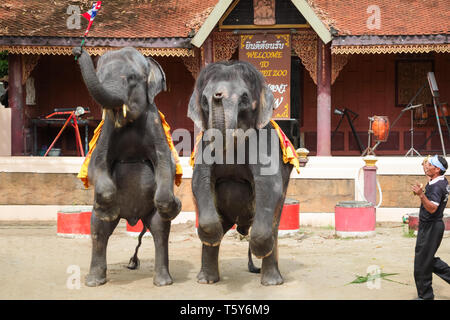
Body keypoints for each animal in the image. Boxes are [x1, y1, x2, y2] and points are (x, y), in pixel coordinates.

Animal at [73, 46, 180, 286]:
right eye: (100, 76)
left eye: (131, 78)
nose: (77, 50)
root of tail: (133, 217)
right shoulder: (107, 129)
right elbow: (96, 164)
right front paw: (109, 210)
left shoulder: (154, 123)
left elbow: (164, 163)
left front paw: (175, 206)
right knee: (98, 229)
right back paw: (94, 281)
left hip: (150, 211)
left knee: (160, 230)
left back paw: (163, 281)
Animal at [187, 60, 296, 284]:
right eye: (204, 100)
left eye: (245, 98)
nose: (217, 95)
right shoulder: (203, 144)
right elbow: (199, 182)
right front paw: (211, 236)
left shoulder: (264, 142)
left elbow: (269, 185)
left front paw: (259, 250)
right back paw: (206, 279)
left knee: (274, 225)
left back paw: (272, 281)